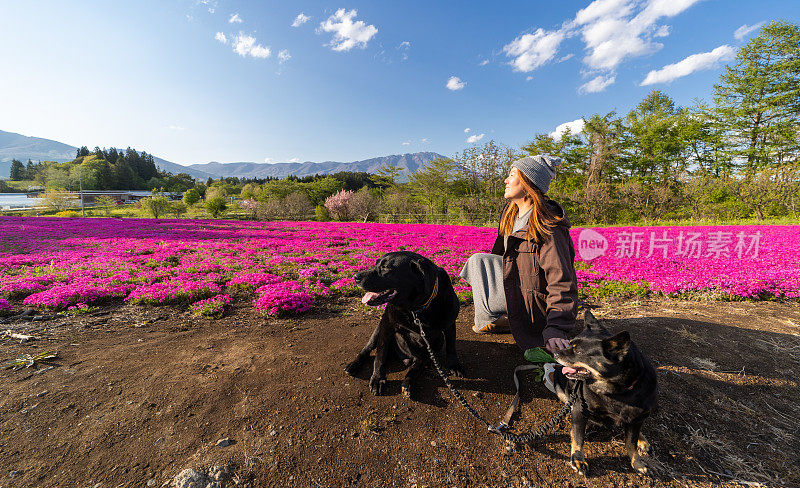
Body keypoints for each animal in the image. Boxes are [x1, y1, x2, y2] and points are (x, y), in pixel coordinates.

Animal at [346, 252, 466, 400]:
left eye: (385, 267)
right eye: (376, 263)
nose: (355, 276)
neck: (416, 308)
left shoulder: (450, 324)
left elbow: (451, 347)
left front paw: (455, 365)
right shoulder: (387, 324)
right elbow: (380, 355)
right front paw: (378, 378)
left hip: (436, 343)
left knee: (418, 364)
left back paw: (408, 383)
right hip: (378, 331)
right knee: (367, 349)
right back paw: (354, 365)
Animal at [552, 310, 656, 474]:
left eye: (578, 351)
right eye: (569, 344)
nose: (556, 353)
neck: (616, 393)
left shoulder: (637, 417)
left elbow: (631, 443)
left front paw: (637, 462)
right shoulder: (580, 409)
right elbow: (578, 436)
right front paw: (578, 459)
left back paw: (642, 440)